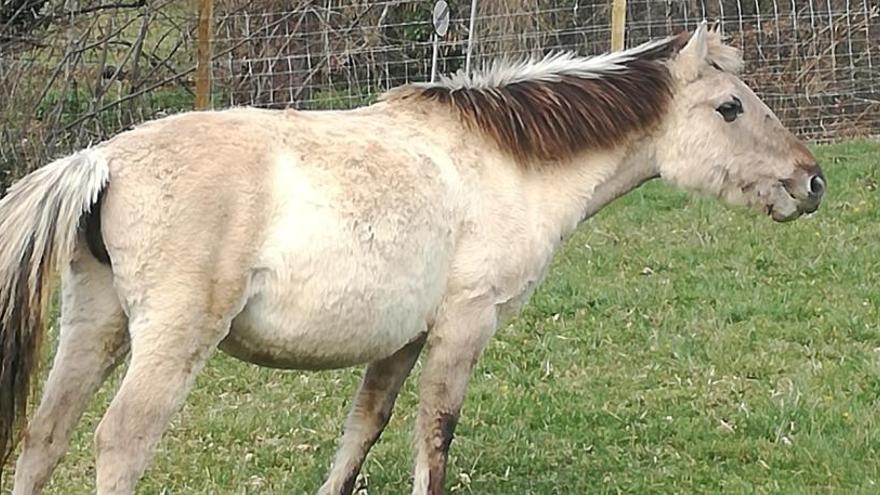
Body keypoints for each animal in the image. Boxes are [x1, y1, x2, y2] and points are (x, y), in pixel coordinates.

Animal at [0, 25, 824, 495]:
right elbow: (436, 436)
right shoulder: (464, 325)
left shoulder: (399, 340)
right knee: (119, 443)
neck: (505, 160)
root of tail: (103, 160)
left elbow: (363, 431)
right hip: (168, 345)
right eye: (730, 108)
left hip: (95, 328)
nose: (810, 181)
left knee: (44, 439)